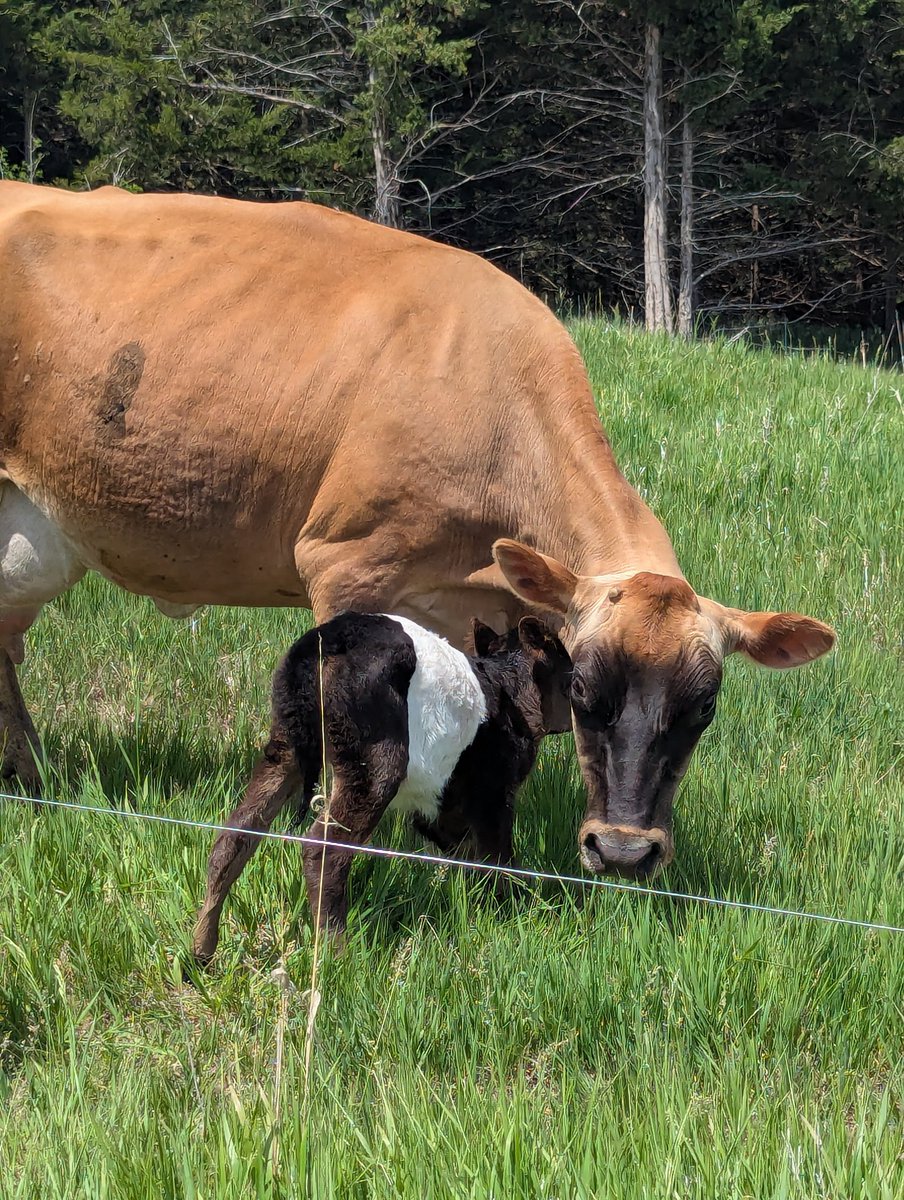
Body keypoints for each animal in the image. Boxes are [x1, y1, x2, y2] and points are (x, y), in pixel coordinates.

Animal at [190, 612, 573, 962]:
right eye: (569, 676)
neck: (509, 686)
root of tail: (325, 641)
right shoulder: (495, 790)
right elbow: (498, 857)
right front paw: (514, 912)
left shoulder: (444, 806)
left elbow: (467, 854)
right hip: (377, 764)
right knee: (324, 849)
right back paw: (336, 957)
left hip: (286, 748)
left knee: (236, 833)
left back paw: (201, 951)